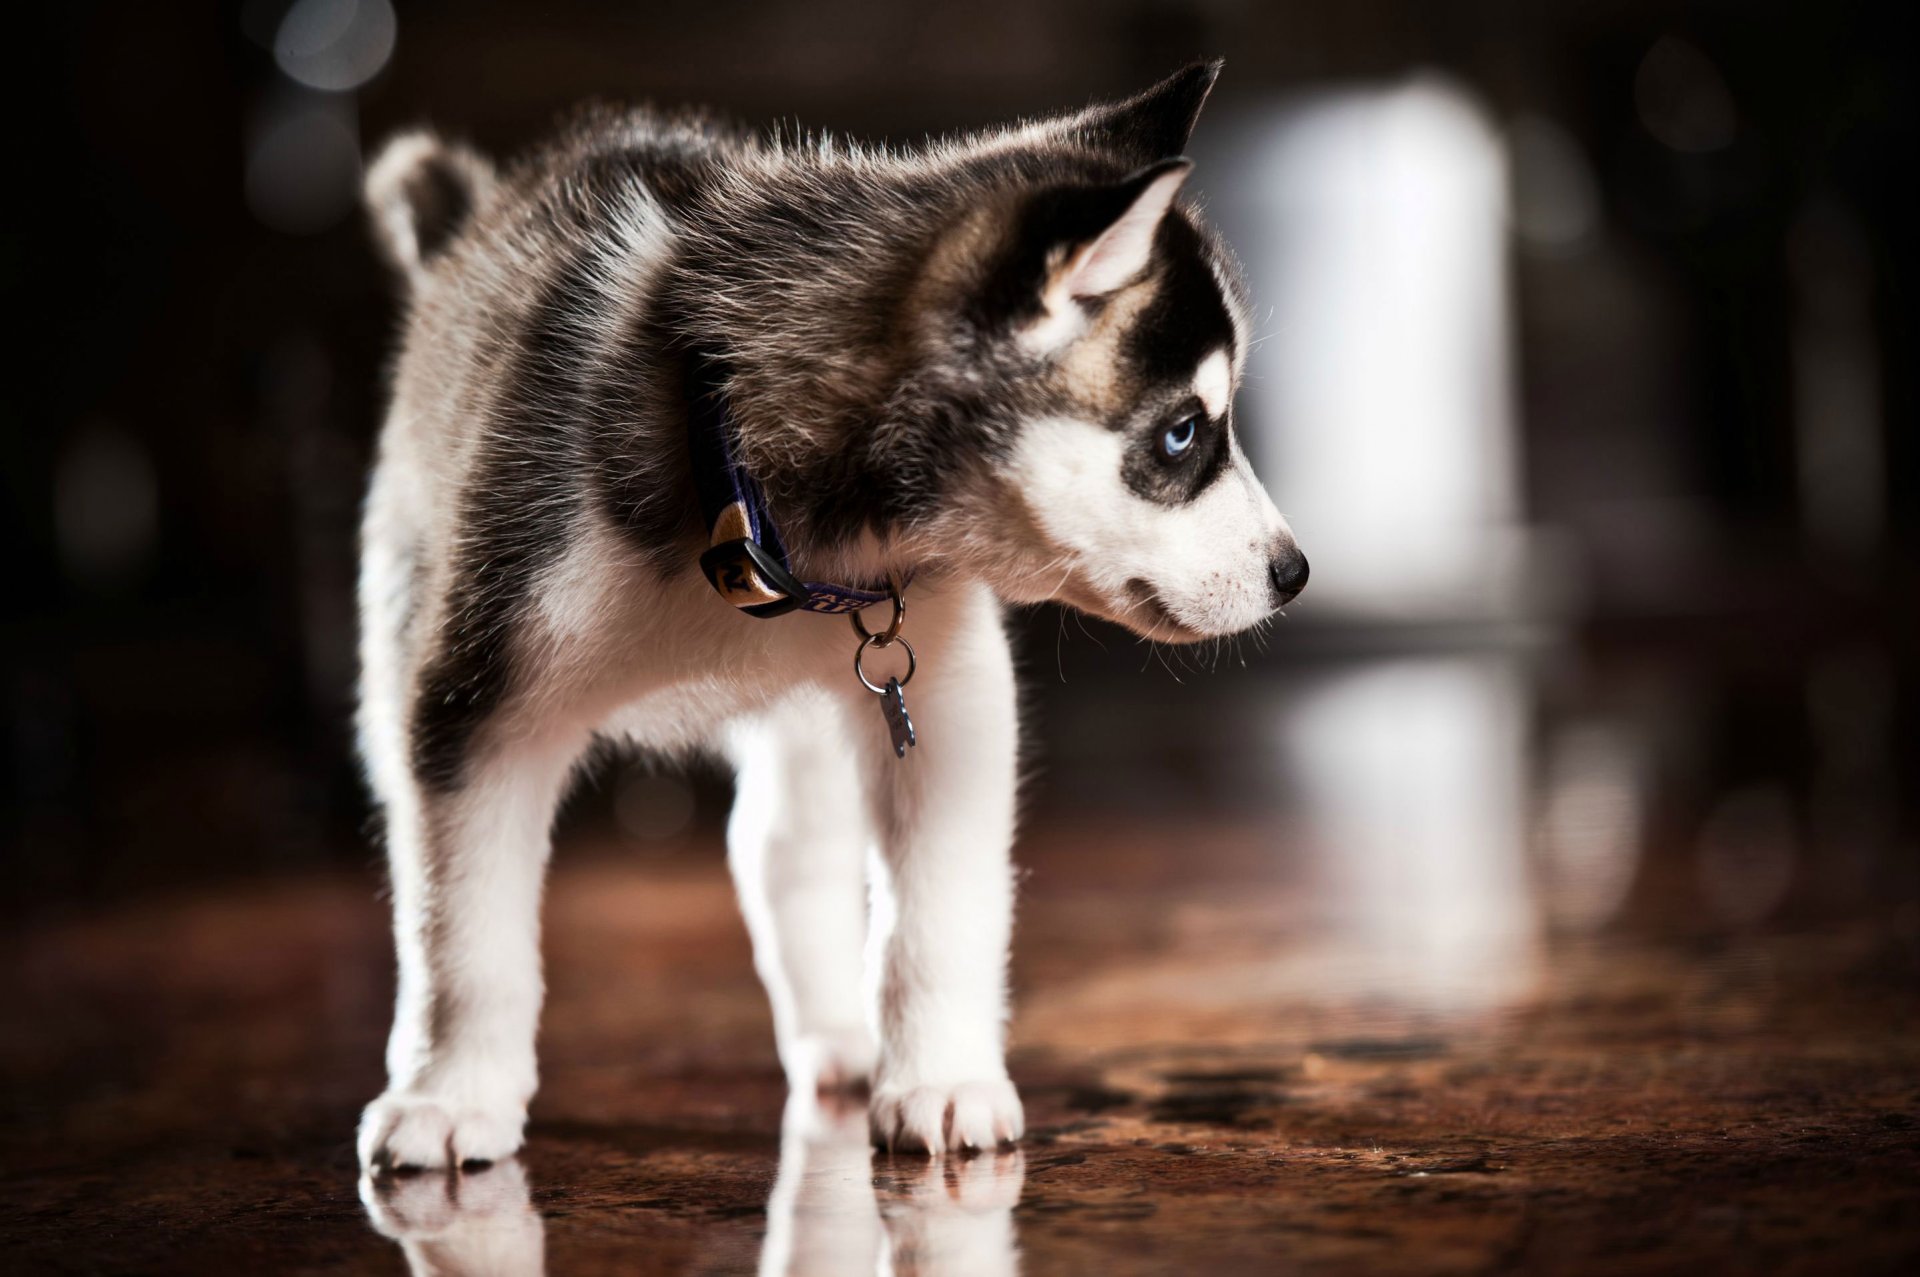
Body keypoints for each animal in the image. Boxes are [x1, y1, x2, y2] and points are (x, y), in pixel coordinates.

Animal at [353, 64, 1305, 1167]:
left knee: (787, 854)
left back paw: (846, 1039)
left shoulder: (946, 694)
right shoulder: (480, 697)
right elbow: (462, 929)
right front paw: (451, 1093)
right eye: (1182, 433)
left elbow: (940, 913)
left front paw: (941, 1078)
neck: (755, 503)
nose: (1295, 572)